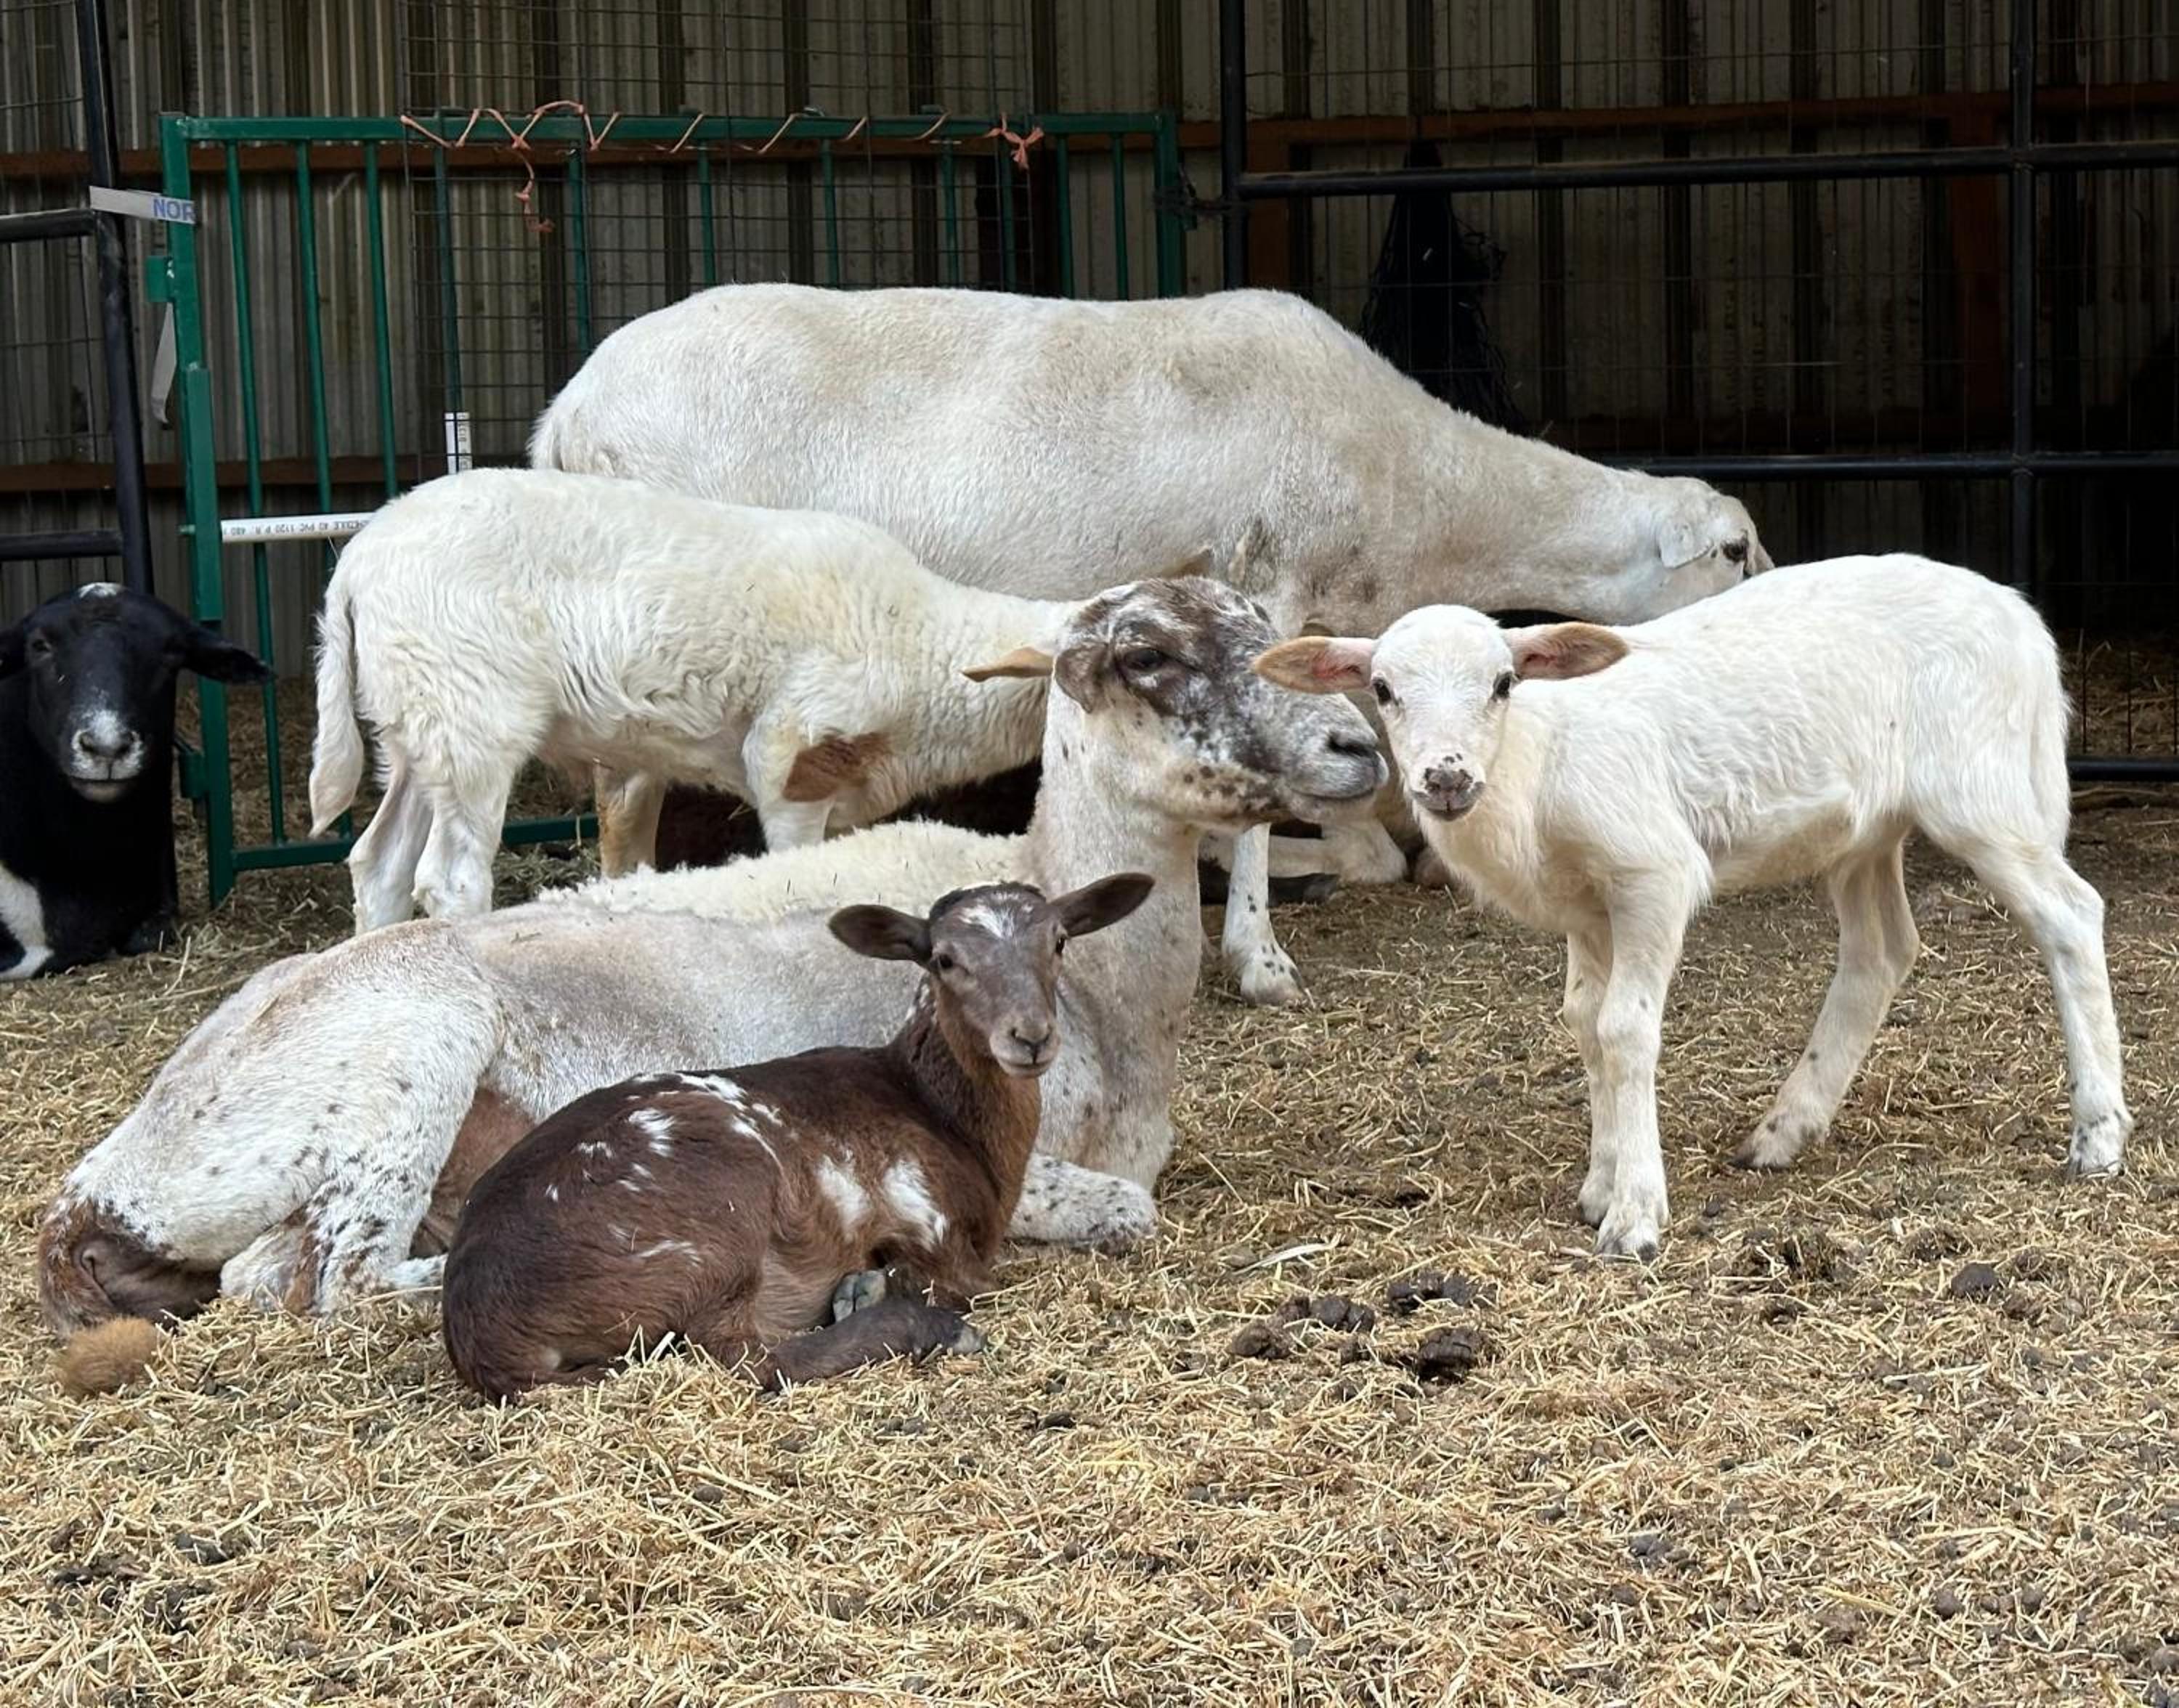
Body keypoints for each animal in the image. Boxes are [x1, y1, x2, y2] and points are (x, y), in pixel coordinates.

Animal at [308, 467, 1067, 931]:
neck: (924, 645)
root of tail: (359, 560)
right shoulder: (792, 754)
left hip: (419, 718)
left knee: (380, 864)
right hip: (472, 713)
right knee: (449, 879)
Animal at [442, 873, 1153, 1399]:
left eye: (1059, 941)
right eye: (946, 959)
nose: (1029, 1036)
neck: (941, 1115)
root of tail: (487, 1336)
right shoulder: (931, 1222)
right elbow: (947, 1278)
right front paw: (882, 1293)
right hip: (710, 1222)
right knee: (744, 1358)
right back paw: (930, 1328)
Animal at [529, 282, 1771, 1007]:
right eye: (1733, 549)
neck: (1415, 484)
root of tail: (566, 411)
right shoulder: (1264, 581)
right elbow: (1267, 805)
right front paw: (1261, 953)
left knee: (625, 806)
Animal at [1257, 554, 2132, 1259]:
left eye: (1504, 683)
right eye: (1382, 690)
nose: (1445, 776)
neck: (1536, 764)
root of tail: (2020, 617)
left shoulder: (1651, 872)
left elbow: (1625, 1028)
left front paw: (1635, 1215)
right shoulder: (1587, 907)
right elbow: (1585, 1023)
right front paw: (1601, 1184)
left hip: (1979, 789)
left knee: (2070, 914)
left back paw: (2099, 1135)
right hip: (1867, 828)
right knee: (1881, 950)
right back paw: (1782, 1131)